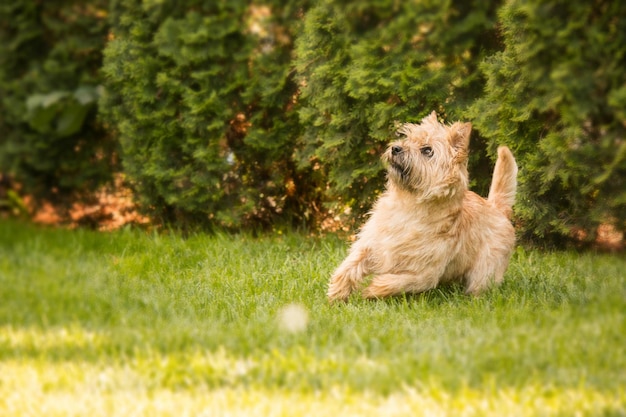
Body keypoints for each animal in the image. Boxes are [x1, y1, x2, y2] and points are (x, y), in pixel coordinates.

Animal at [324, 110, 516, 300]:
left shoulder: (424, 273)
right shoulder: (372, 244)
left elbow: (396, 282)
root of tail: (497, 208)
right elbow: (351, 264)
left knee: (479, 285)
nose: (396, 148)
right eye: (407, 138)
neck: (408, 206)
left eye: (427, 150)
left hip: (484, 270)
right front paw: (337, 293)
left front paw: (372, 290)